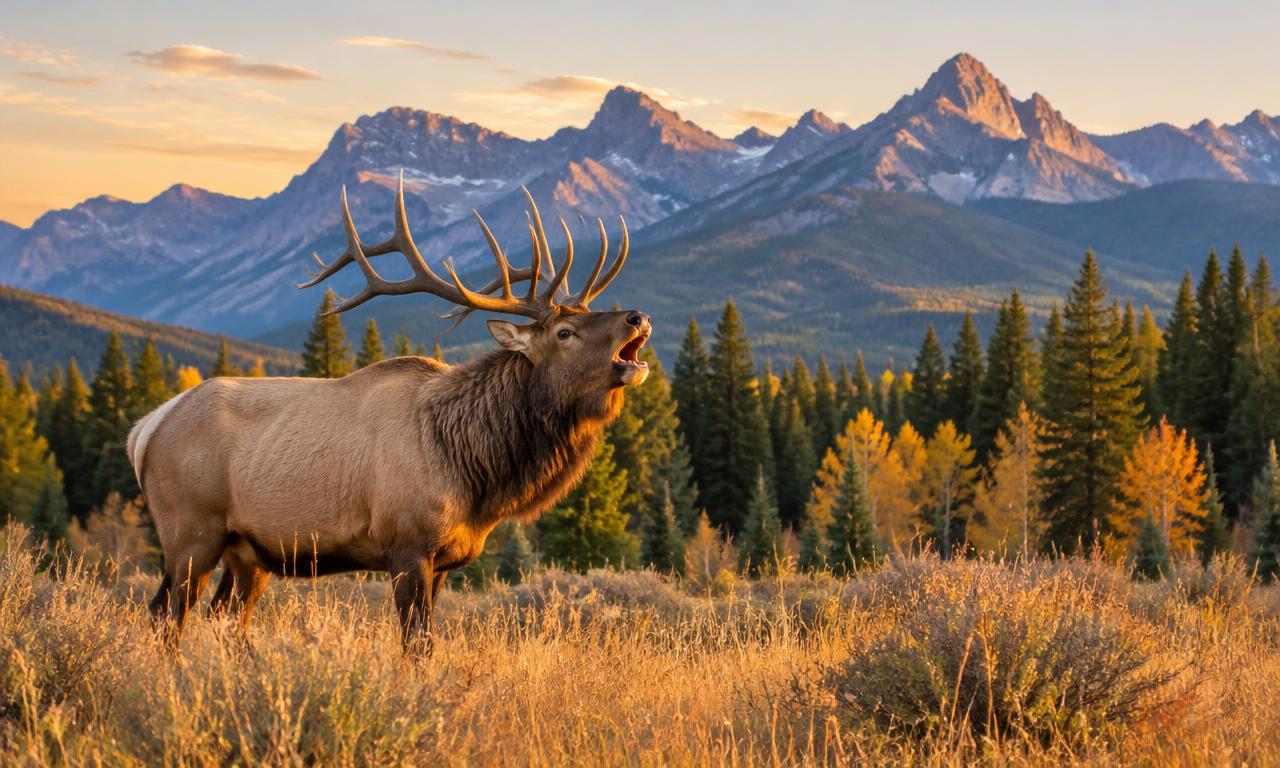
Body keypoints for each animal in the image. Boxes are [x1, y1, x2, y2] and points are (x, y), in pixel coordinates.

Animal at [127, 175, 650, 653]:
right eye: (564, 332)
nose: (637, 317)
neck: (475, 474)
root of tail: (145, 429)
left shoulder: (443, 560)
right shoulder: (407, 544)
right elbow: (416, 644)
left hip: (248, 552)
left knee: (224, 619)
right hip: (190, 531)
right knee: (165, 615)